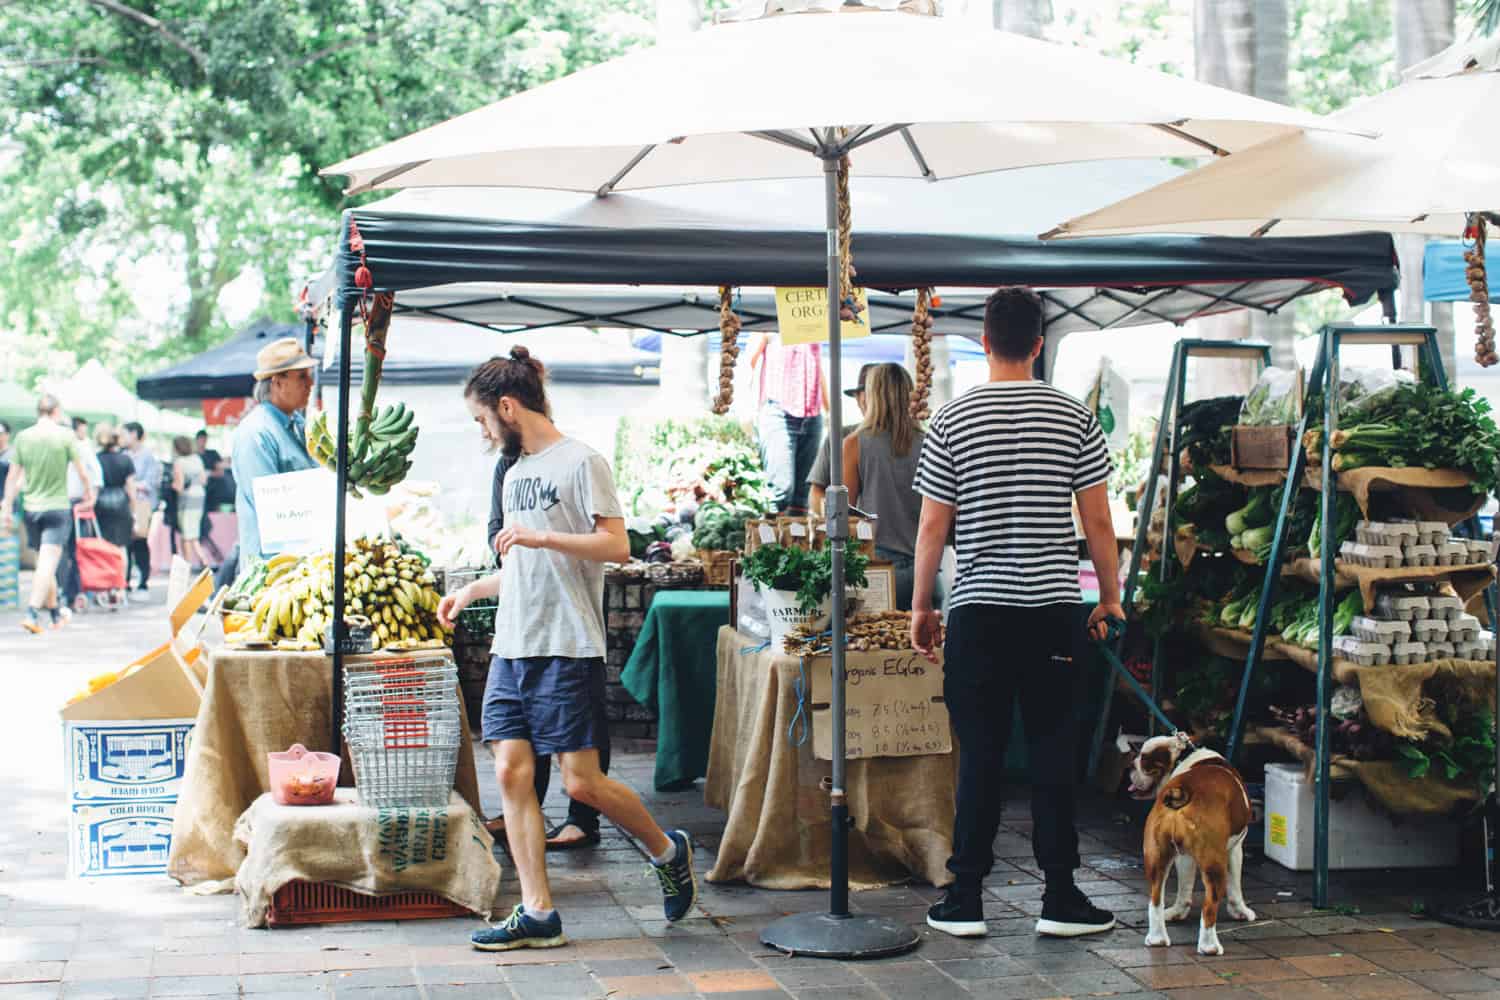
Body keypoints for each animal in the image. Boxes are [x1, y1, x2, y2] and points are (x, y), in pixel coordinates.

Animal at [1128, 734, 1260, 953]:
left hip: (1156, 856)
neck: (1183, 757)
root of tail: (1181, 791)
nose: (1131, 765)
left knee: (1155, 899)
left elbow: (1184, 888)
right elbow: (1235, 888)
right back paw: (1209, 946)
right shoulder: (1235, 849)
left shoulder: (1184, 856)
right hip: (1215, 864)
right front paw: (1241, 911)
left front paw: (1177, 912)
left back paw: (1157, 938)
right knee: (1210, 906)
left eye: (1144, 760)